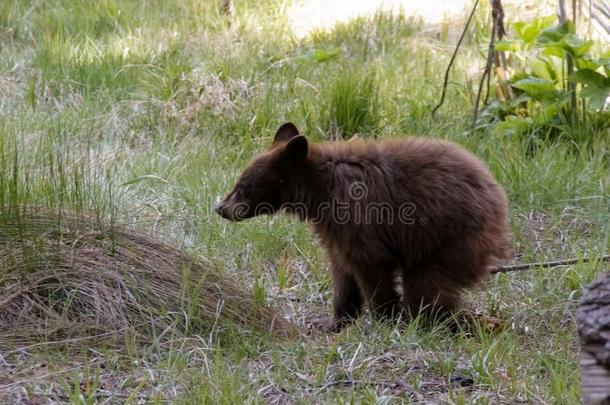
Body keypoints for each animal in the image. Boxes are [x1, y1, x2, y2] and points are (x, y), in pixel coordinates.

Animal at [214, 123, 508, 332]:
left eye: (242, 186)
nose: (220, 208)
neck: (320, 189)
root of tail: (500, 205)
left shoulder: (357, 218)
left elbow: (370, 265)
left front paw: (384, 319)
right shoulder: (333, 229)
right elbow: (342, 270)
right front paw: (333, 321)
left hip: (447, 240)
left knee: (426, 284)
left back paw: (431, 322)